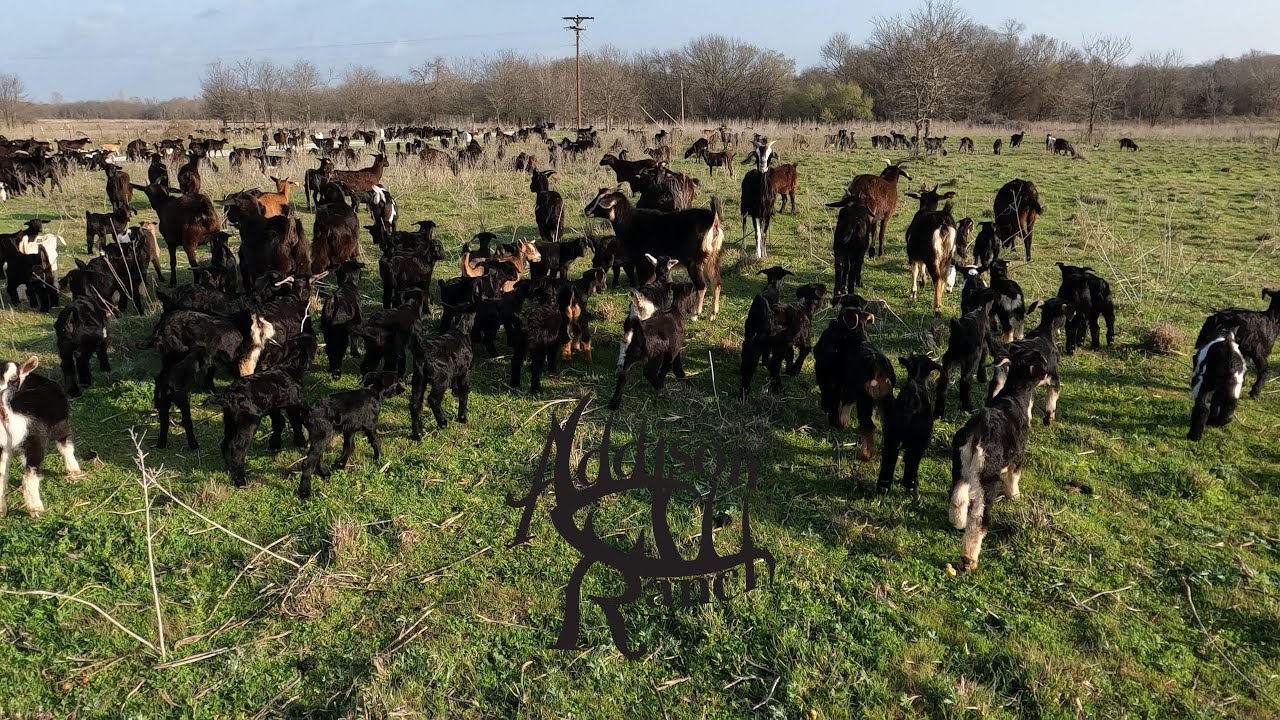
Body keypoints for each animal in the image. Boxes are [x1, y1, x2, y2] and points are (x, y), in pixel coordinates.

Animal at [0, 357, 84, 517]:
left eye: (13, 379)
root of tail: (5, 409)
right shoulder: (61, 427)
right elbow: (66, 446)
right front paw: (74, 470)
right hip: (36, 441)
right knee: (30, 476)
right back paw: (36, 508)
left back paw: (2, 510)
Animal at [877, 355, 943, 497]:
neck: (917, 380)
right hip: (919, 439)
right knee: (912, 458)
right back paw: (911, 483)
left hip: (892, 435)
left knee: (889, 456)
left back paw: (883, 486)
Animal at [949, 349, 1051, 571]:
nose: (1049, 375)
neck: (1014, 395)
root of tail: (980, 428)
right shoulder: (1018, 454)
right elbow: (1014, 476)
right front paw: (1015, 495)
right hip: (987, 480)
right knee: (978, 518)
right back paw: (969, 558)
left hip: (960, 468)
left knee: (957, 497)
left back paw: (957, 523)